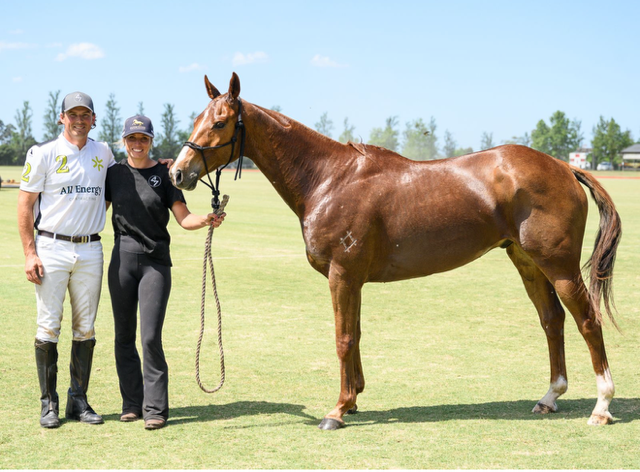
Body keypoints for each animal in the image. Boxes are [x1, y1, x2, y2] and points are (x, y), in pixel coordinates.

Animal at [169, 73, 621, 430]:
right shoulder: (353, 279)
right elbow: (355, 334)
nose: (177, 172)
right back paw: (550, 397)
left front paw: (336, 410)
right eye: (197, 120)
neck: (329, 179)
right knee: (552, 320)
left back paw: (601, 406)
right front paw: (352, 399)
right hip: (527, 262)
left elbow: (343, 338)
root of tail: (565, 167)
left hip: (559, 266)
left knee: (587, 321)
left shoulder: (342, 274)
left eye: (220, 123)